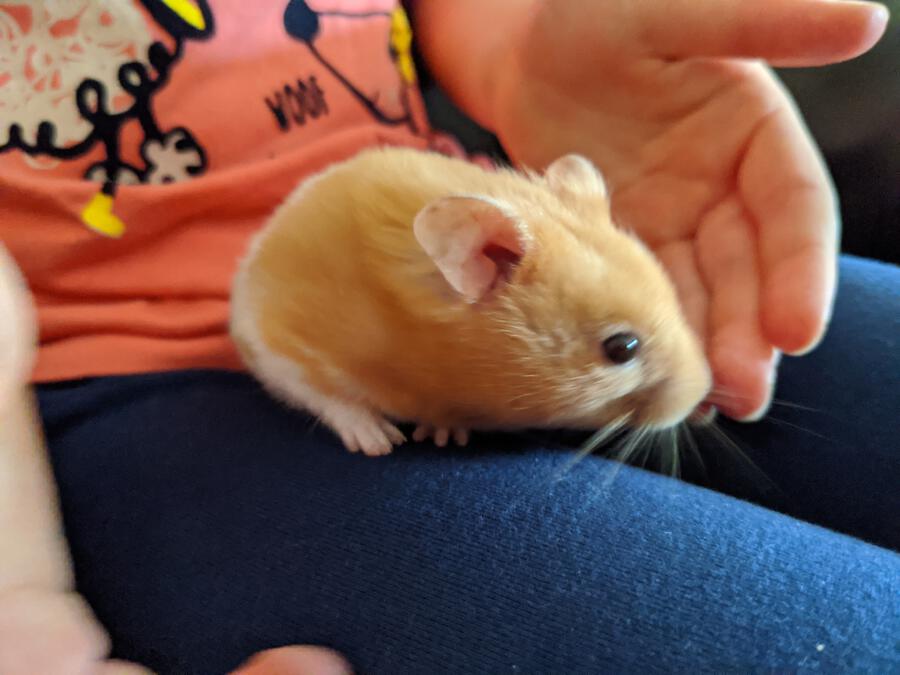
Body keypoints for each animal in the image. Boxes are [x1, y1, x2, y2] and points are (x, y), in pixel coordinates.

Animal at [230, 147, 711, 456]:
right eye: (622, 348)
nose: (702, 396)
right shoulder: (278, 336)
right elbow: (323, 395)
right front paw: (380, 443)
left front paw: (444, 436)